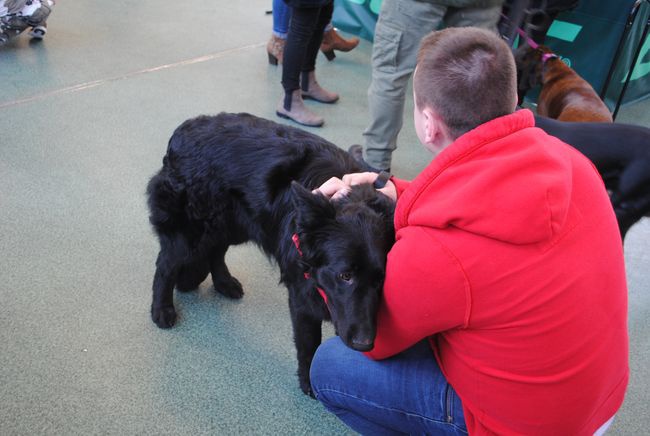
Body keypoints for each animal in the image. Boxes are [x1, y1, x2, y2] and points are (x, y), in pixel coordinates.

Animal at [145, 111, 392, 396]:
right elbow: (309, 344)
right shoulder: (302, 297)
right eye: (345, 276)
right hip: (189, 232)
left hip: (233, 223)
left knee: (215, 251)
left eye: (381, 279)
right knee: (165, 265)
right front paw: (309, 380)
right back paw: (162, 308)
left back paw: (224, 283)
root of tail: (182, 131)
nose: (365, 344)